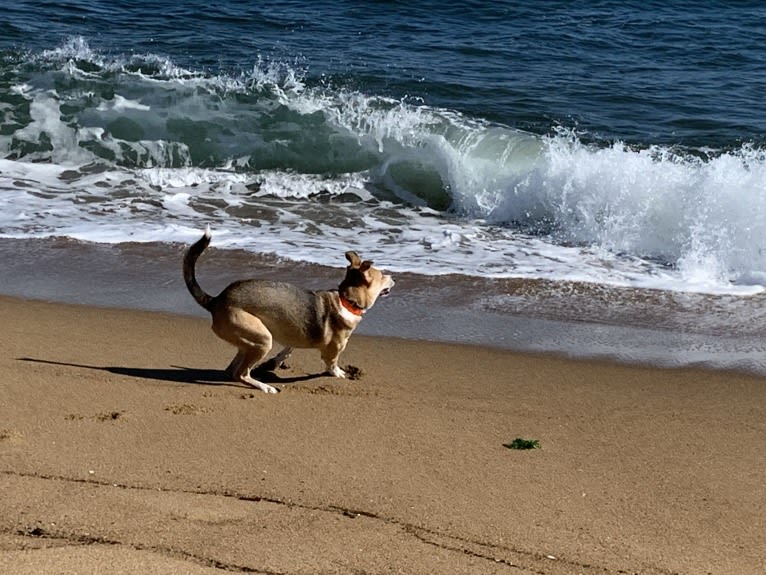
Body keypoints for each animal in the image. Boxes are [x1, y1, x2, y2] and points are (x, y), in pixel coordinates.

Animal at [184, 227, 396, 394]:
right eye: (382, 276)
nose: (393, 278)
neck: (346, 300)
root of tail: (216, 300)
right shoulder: (333, 350)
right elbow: (332, 363)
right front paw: (339, 373)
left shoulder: (293, 335)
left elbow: (288, 348)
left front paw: (276, 362)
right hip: (262, 339)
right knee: (240, 373)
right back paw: (266, 387)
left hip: (249, 341)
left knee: (232, 370)